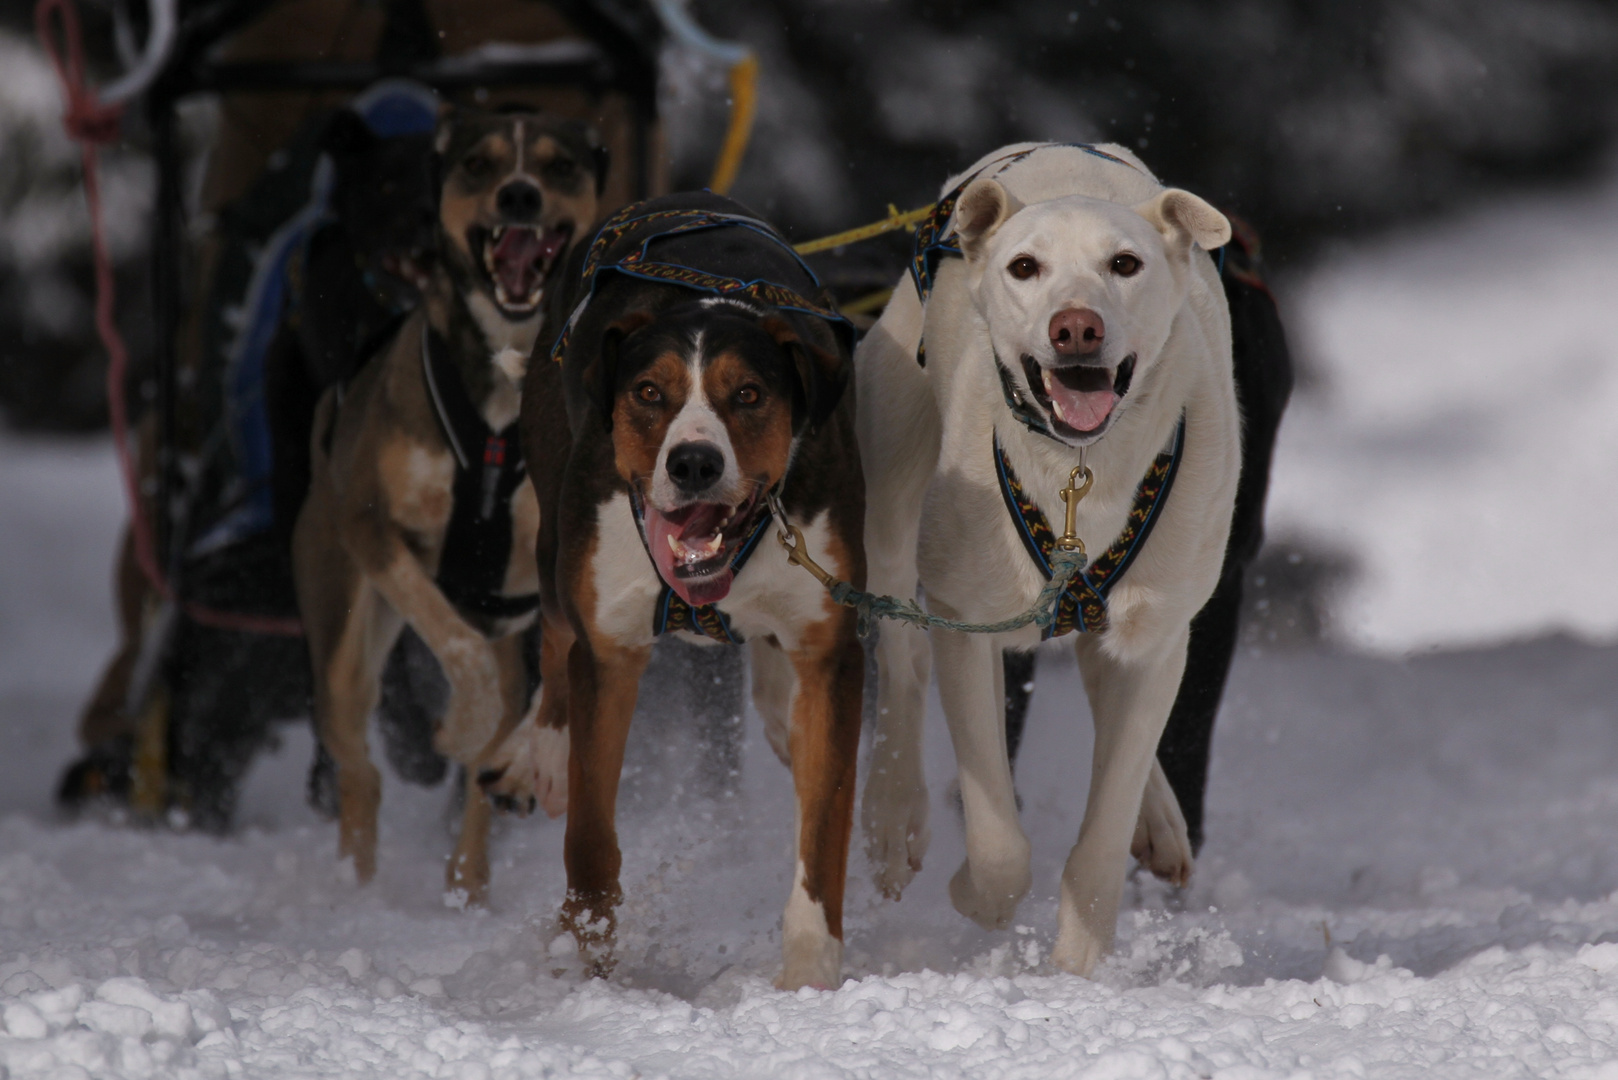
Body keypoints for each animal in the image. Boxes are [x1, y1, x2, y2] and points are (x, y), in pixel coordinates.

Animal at [289, 107, 601, 906]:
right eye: (478, 164)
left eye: (558, 166)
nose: (519, 195)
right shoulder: (372, 525)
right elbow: (456, 650)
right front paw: (459, 726)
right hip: (344, 626)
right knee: (360, 769)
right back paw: (357, 888)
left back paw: (468, 880)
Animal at [478, 191, 867, 990]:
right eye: (648, 393)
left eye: (748, 394)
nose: (693, 463)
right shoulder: (611, 650)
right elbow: (589, 837)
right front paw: (586, 957)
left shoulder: (833, 654)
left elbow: (823, 832)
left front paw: (810, 974)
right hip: (557, 542)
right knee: (556, 641)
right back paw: (542, 754)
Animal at [860, 139, 1236, 977]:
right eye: (1025, 267)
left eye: (1125, 263)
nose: (1076, 328)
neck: (1078, 475)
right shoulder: (968, 621)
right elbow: (998, 836)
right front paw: (980, 897)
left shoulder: (1157, 636)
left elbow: (1102, 831)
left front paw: (1077, 964)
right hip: (892, 493)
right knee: (901, 657)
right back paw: (894, 818)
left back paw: (1159, 821)